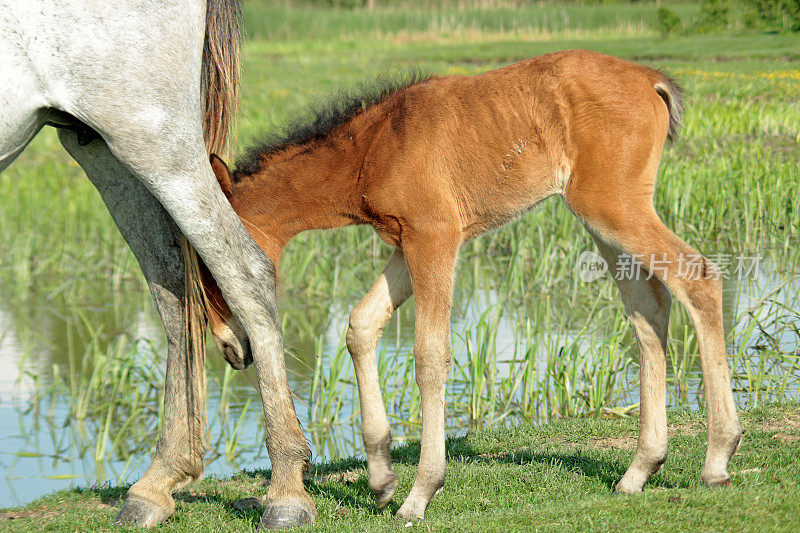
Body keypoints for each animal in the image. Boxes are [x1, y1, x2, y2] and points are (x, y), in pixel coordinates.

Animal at [1, 1, 314, 528]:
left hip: (152, 136)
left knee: (243, 270)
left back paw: (287, 492)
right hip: (100, 144)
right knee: (172, 287)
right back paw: (157, 484)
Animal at [203, 50, 740, 520]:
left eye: (211, 269)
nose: (231, 348)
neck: (374, 147)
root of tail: (651, 79)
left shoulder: (436, 237)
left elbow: (429, 355)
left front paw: (419, 494)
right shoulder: (407, 242)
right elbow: (361, 325)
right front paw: (381, 479)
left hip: (612, 207)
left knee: (698, 278)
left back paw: (717, 458)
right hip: (603, 221)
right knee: (648, 309)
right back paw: (640, 470)